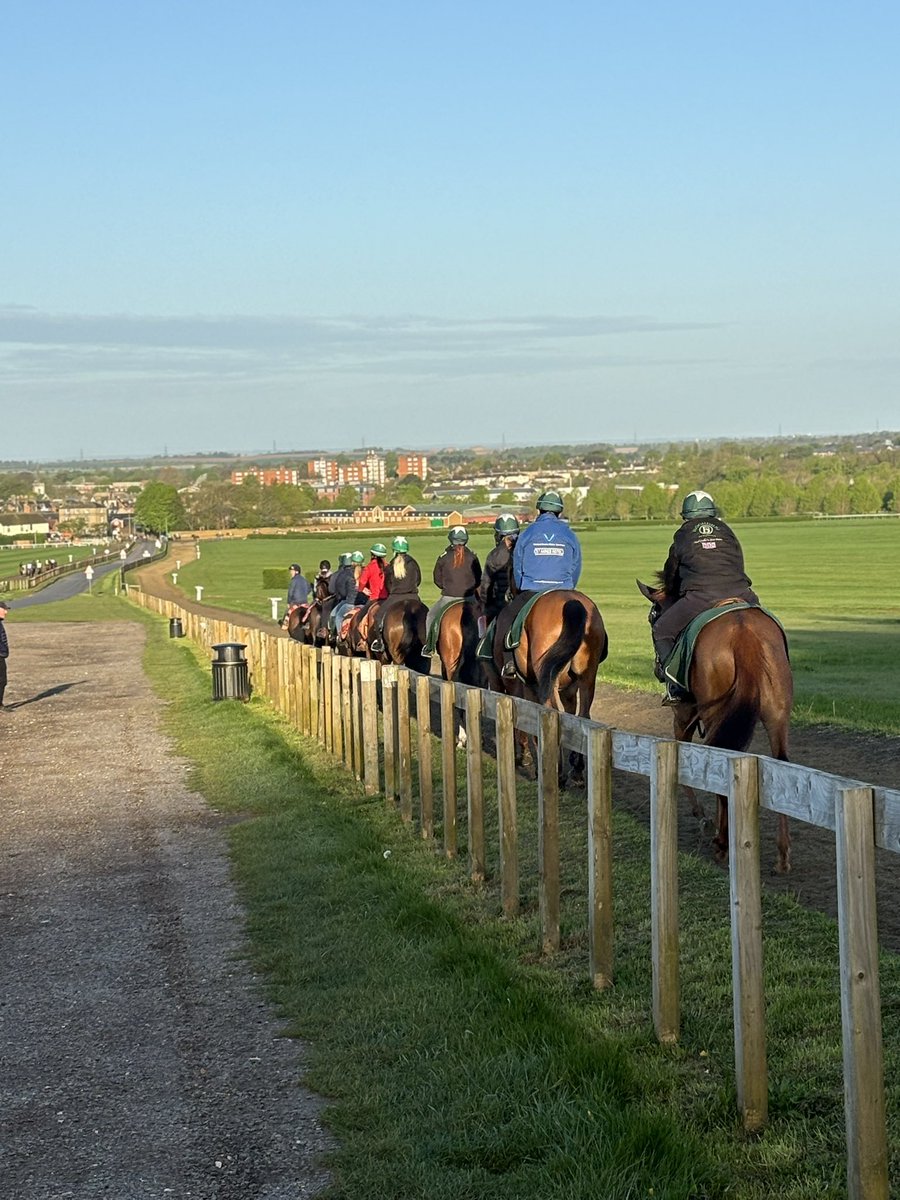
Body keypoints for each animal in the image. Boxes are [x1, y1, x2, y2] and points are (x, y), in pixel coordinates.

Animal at [638, 578, 792, 873]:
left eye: (652, 618)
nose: (657, 669)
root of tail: (744, 632)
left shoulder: (683, 716)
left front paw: (702, 817)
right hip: (777, 716)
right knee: (782, 763)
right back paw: (782, 854)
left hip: (711, 716)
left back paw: (722, 843)